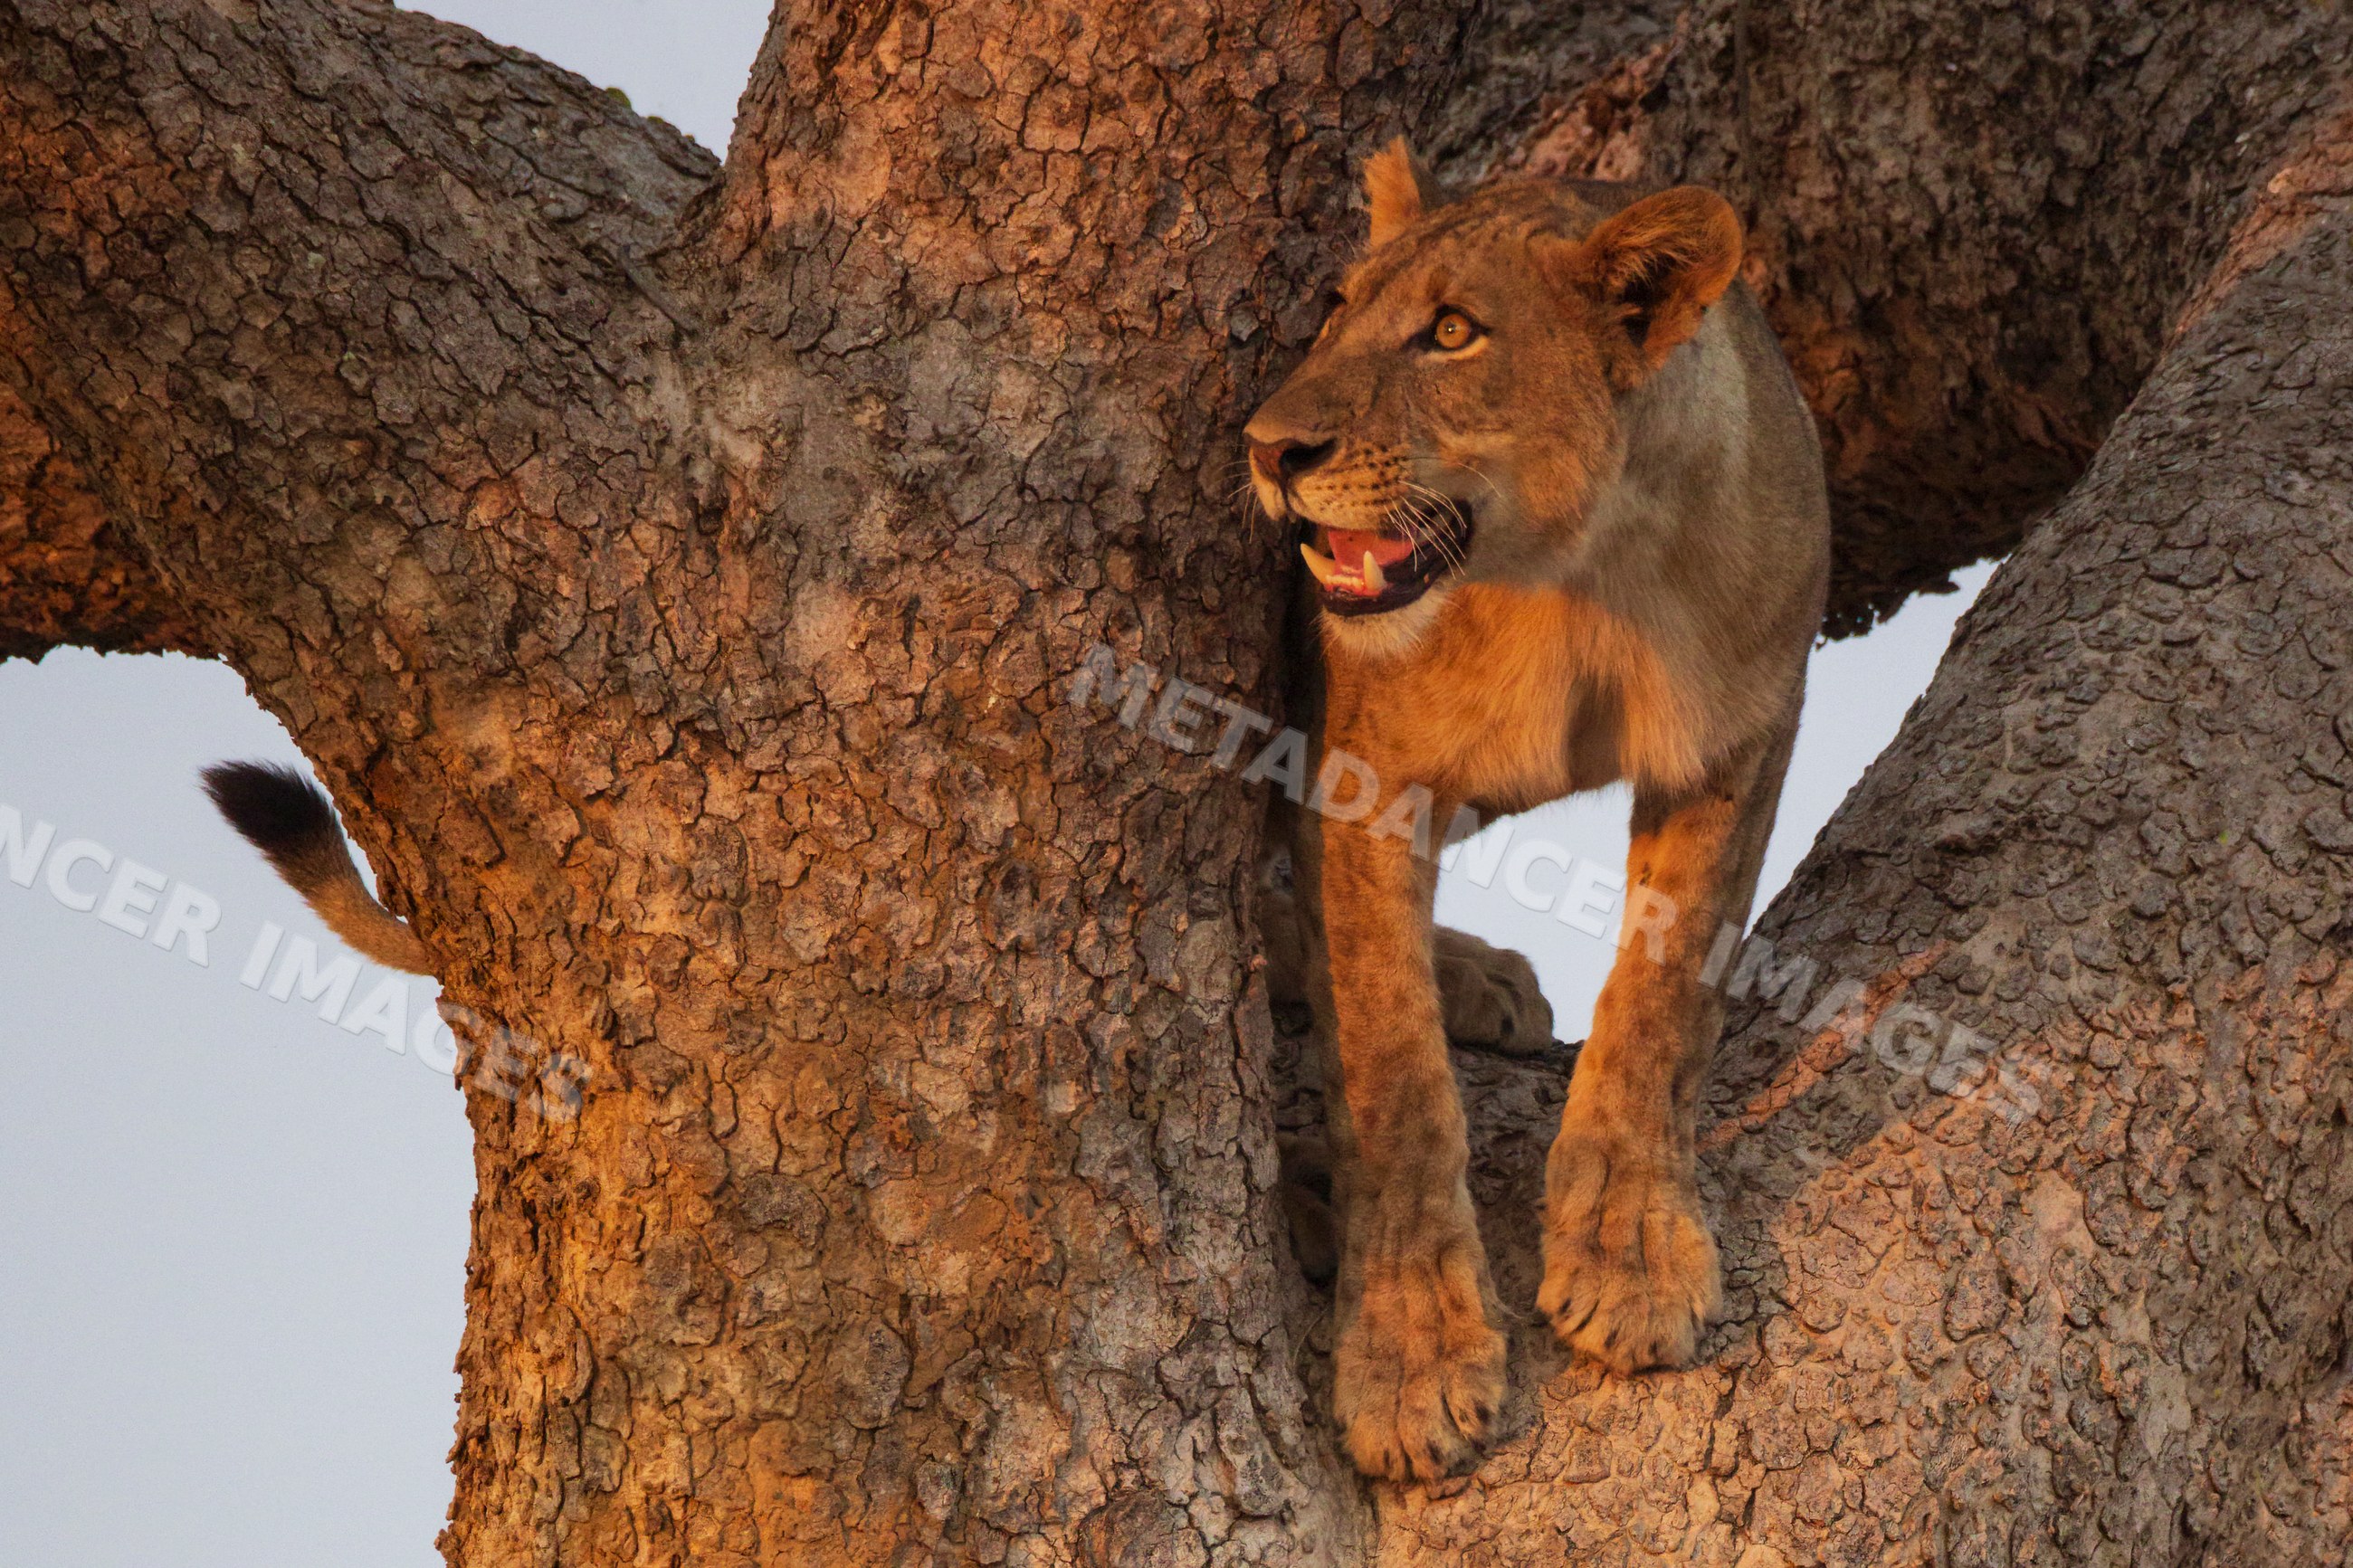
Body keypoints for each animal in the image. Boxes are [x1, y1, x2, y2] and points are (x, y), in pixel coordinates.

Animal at [1245, 141, 1829, 1482]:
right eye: (1336, 307)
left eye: (1452, 332)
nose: (1266, 448)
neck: (1572, 582)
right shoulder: (1360, 774)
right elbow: (1392, 1072)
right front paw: (1409, 1356)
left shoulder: (1742, 728)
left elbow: (1667, 990)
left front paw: (1632, 1251)